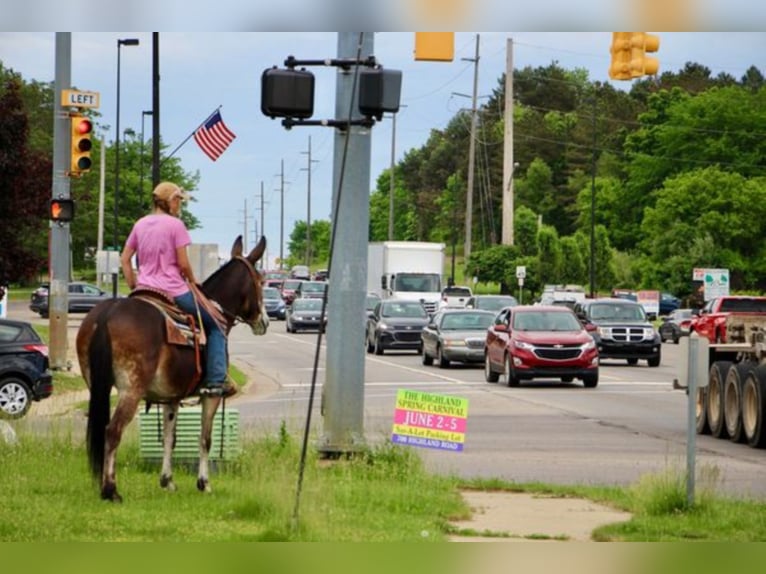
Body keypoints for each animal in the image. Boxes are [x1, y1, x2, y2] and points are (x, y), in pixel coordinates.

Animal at [75, 236, 268, 502]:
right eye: (261, 282)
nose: (265, 322)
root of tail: (108, 314)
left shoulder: (171, 397)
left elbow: (169, 438)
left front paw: (167, 481)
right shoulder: (212, 396)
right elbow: (205, 438)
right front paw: (204, 483)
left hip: (96, 385)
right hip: (131, 390)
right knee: (112, 431)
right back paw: (111, 490)